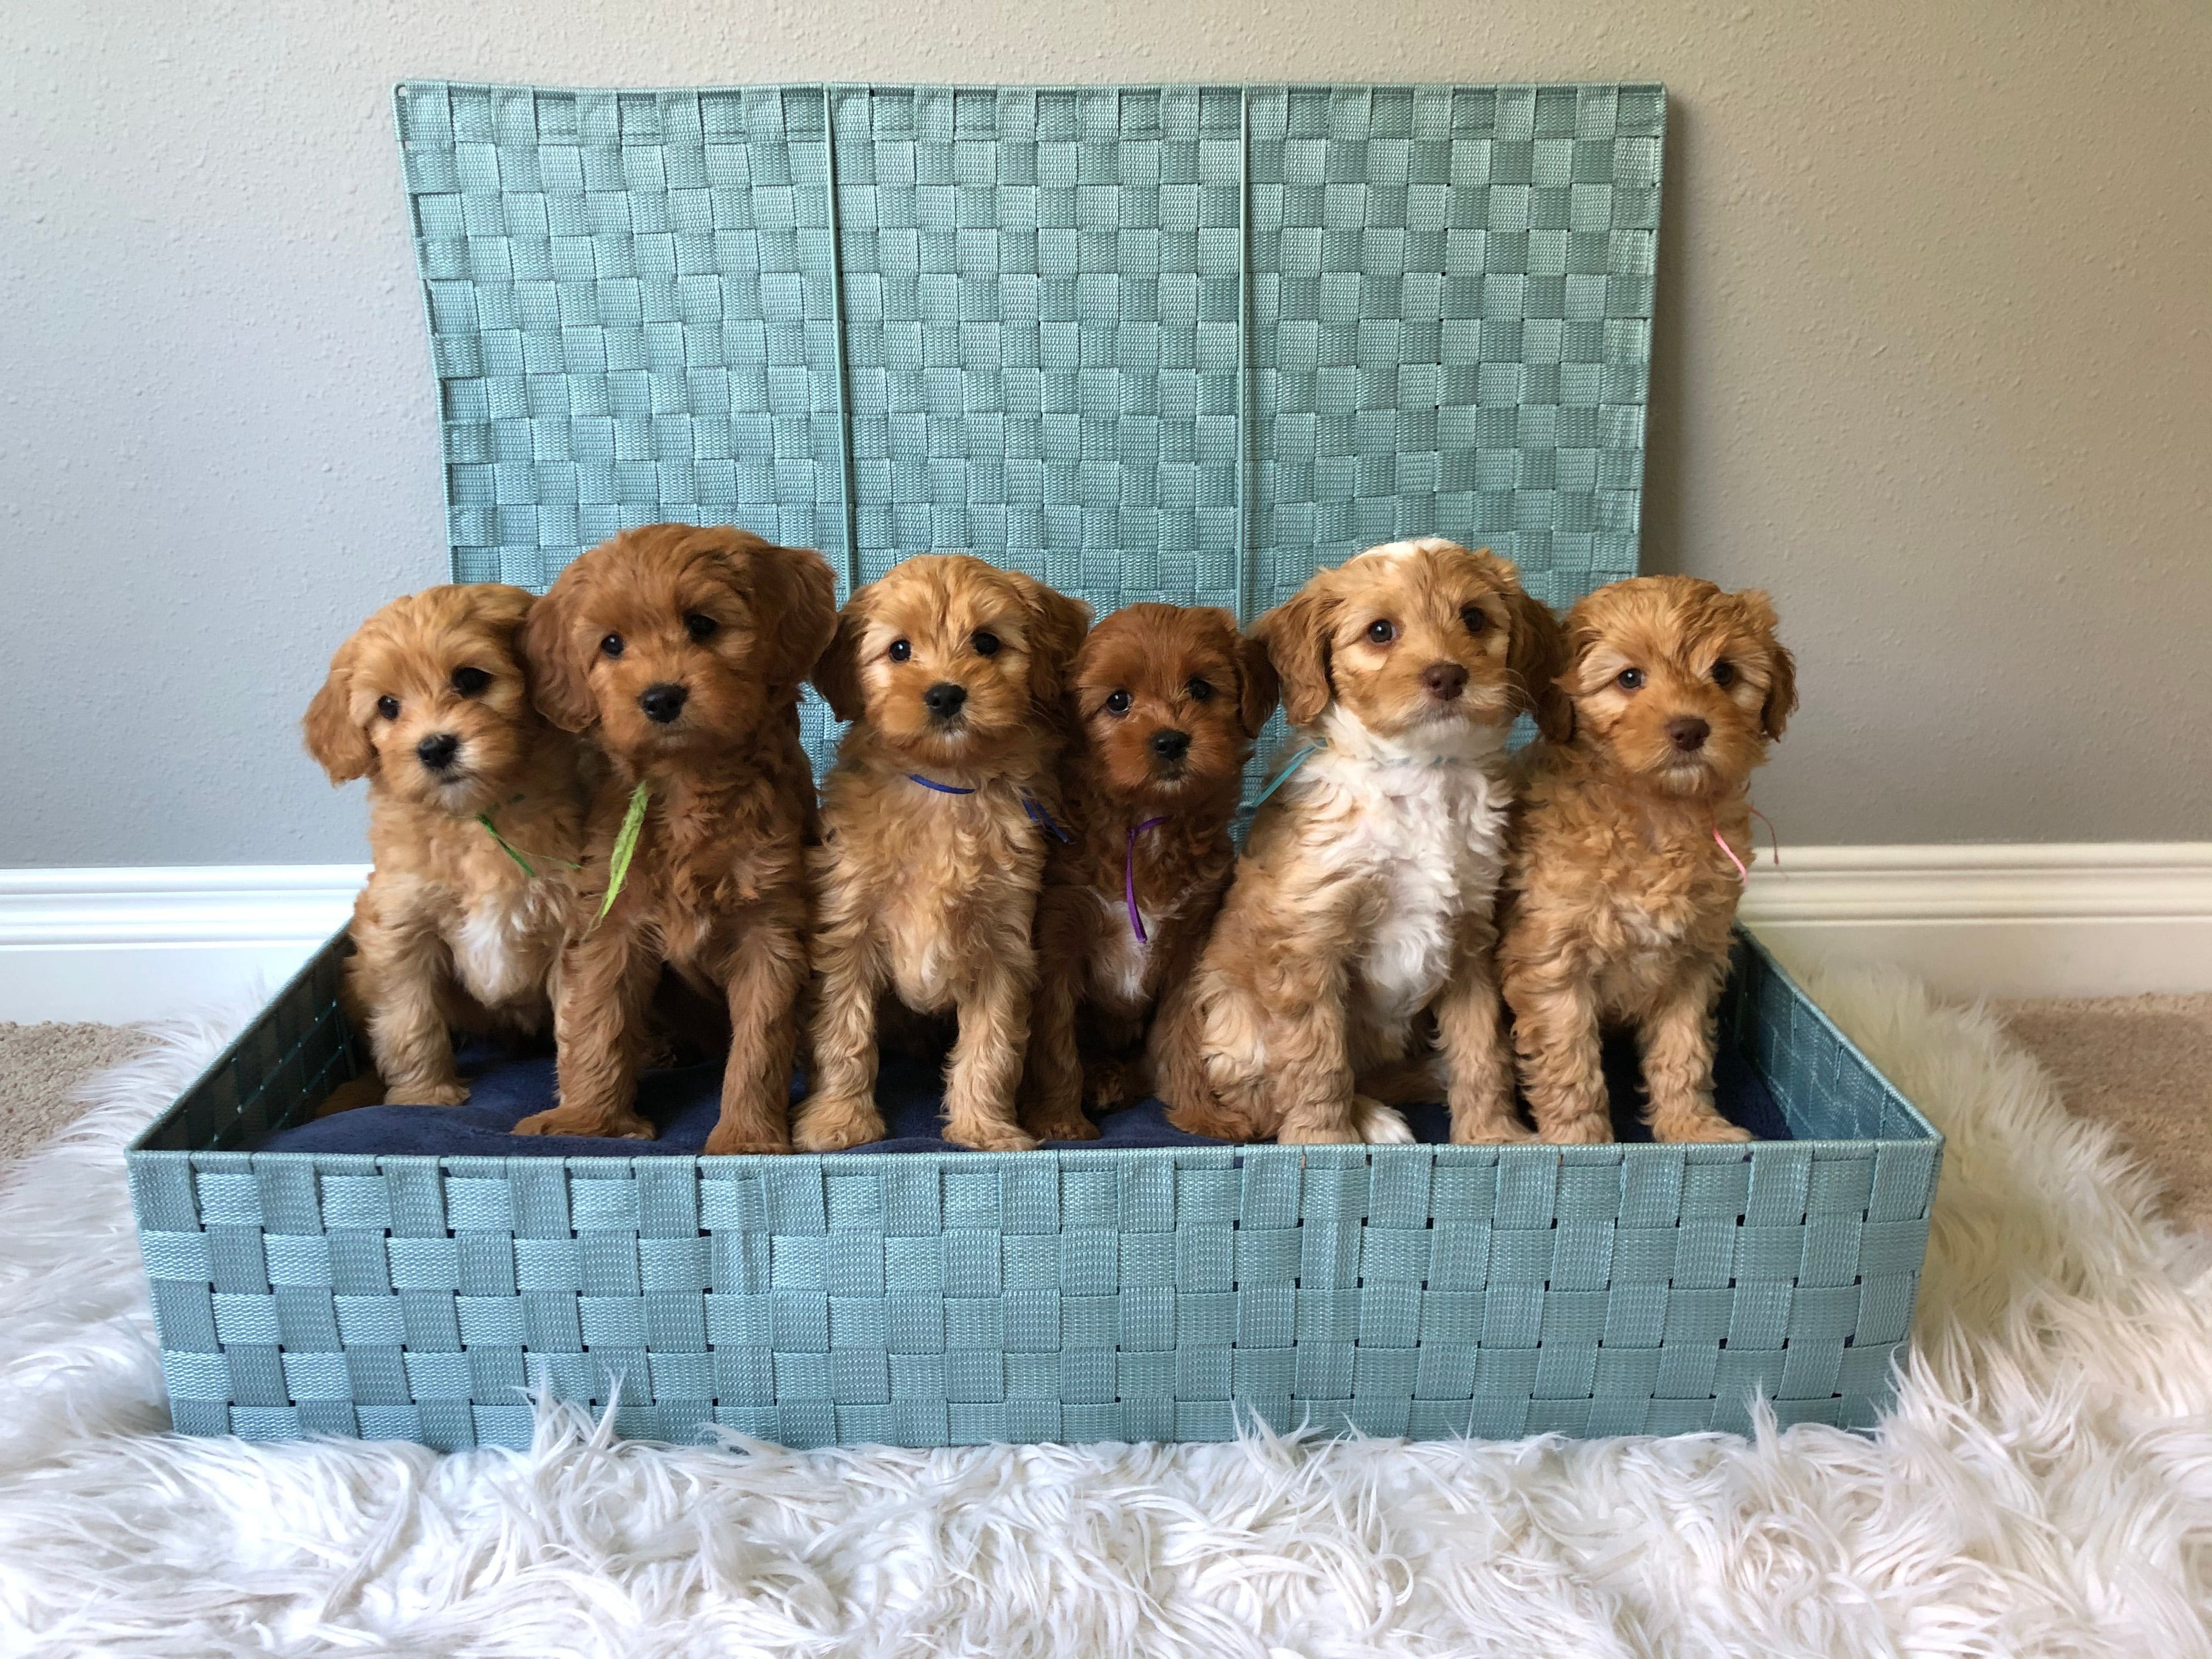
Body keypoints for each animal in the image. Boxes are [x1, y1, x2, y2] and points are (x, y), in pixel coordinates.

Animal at [307, 584, 597, 1106]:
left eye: (470, 679)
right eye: (387, 706)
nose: (435, 747)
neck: (474, 820)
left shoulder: (570, 923)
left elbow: (579, 1019)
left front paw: (580, 1107)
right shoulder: (401, 929)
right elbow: (410, 1019)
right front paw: (425, 1096)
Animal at [509, 526, 836, 1150]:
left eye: (703, 624)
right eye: (612, 644)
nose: (661, 698)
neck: (688, 781)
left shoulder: (771, 925)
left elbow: (760, 1042)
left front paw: (746, 1138)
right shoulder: (614, 919)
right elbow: (599, 1018)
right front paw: (588, 1122)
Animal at [796, 560, 1097, 1159]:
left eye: (986, 643)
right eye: (899, 650)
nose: (944, 695)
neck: (946, 783)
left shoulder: (1004, 942)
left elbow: (991, 1046)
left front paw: (985, 1127)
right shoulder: (849, 928)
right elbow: (844, 1032)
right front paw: (839, 1120)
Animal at [1150, 539, 1566, 1150]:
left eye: (1473, 618)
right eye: (1380, 632)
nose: (1448, 676)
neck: (1420, 770)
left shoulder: (1470, 935)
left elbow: (1480, 1047)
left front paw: (1494, 1135)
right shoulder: (1310, 938)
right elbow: (1318, 1060)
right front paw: (1325, 1141)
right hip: (1233, 1018)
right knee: (1264, 1096)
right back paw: (1369, 1116)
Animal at [1504, 575, 1796, 1141]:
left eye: (1724, 673)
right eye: (1630, 678)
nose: (1690, 729)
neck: (1658, 813)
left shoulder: (1694, 960)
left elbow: (1684, 1052)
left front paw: (1693, 1128)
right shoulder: (1554, 962)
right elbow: (1569, 1067)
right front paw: (1577, 1142)